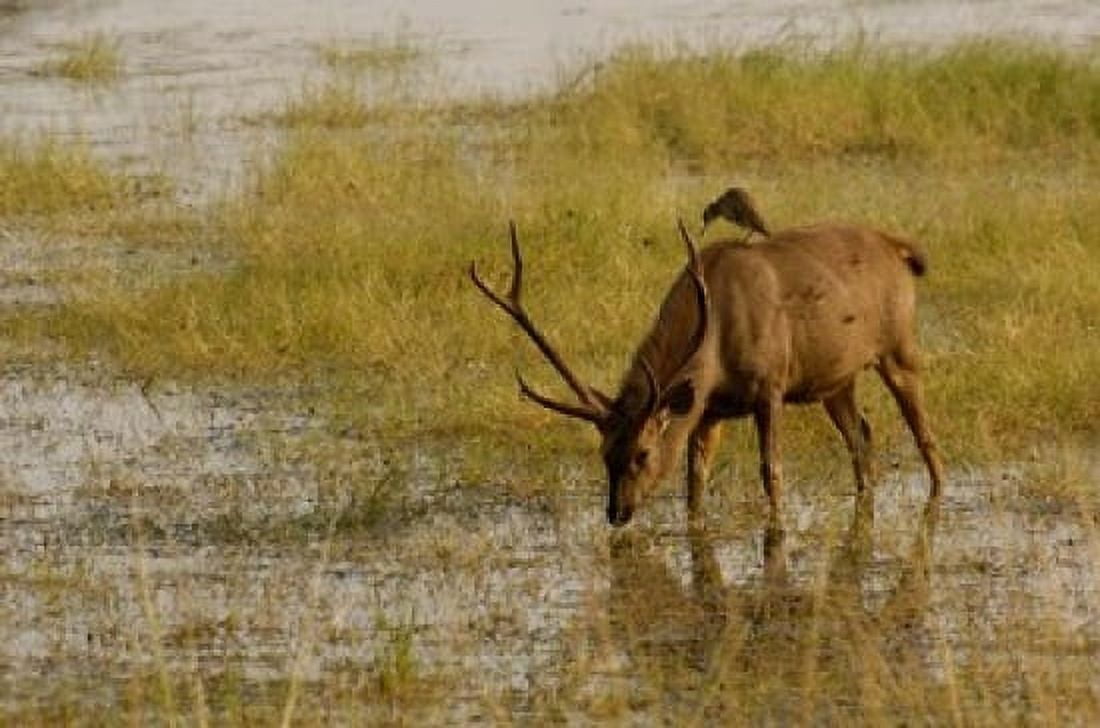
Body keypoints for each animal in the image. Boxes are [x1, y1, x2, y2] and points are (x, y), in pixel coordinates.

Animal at [469, 218, 944, 527]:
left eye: (642, 453)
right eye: (603, 454)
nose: (617, 513)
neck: (716, 341)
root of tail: (897, 247)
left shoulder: (770, 384)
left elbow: (771, 471)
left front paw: (777, 530)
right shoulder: (710, 407)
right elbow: (694, 481)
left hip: (899, 344)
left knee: (925, 435)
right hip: (836, 378)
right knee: (862, 436)